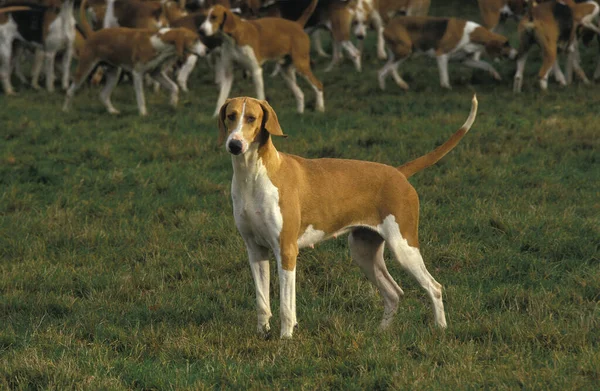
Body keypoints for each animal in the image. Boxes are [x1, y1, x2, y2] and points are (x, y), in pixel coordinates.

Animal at [62, 0, 205, 116]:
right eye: (195, 40)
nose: (207, 50)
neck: (158, 42)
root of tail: (93, 34)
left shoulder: (156, 73)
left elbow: (174, 87)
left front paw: (173, 104)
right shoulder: (137, 74)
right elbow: (141, 97)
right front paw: (143, 114)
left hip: (114, 72)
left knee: (103, 95)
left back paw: (112, 111)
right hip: (85, 68)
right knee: (70, 91)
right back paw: (66, 110)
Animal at [217, 95, 478, 340]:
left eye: (251, 118)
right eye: (231, 116)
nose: (234, 145)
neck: (251, 175)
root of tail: (398, 173)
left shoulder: (286, 250)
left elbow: (286, 306)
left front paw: (286, 339)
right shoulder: (256, 251)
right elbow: (262, 302)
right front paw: (263, 335)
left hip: (404, 249)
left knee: (434, 287)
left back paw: (440, 329)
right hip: (363, 252)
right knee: (394, 293)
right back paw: (381, 332)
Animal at [380, 15, 516, 90]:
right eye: (506, 44)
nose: (516, 54)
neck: (472, 35)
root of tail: (388, 24)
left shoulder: (465, 60)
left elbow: (486, 65)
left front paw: (495, 75)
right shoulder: (441, 55)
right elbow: (445, 76)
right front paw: (446, 87)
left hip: (401, 53)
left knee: (386, 70)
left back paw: (388, 87)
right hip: (405, 50)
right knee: (387, 70)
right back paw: (397, 84)